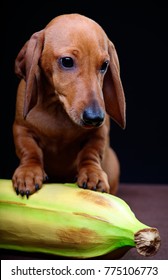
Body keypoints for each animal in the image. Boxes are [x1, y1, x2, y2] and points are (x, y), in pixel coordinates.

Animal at [12, 13, 125, 197]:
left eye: (104, 65)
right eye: (67, 61)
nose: (95, 118)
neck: (59, 109)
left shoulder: (99, 133)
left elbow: (91, 152)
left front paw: (92, 173)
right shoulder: (21, 129)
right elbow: (29, 150)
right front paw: (28, 172)